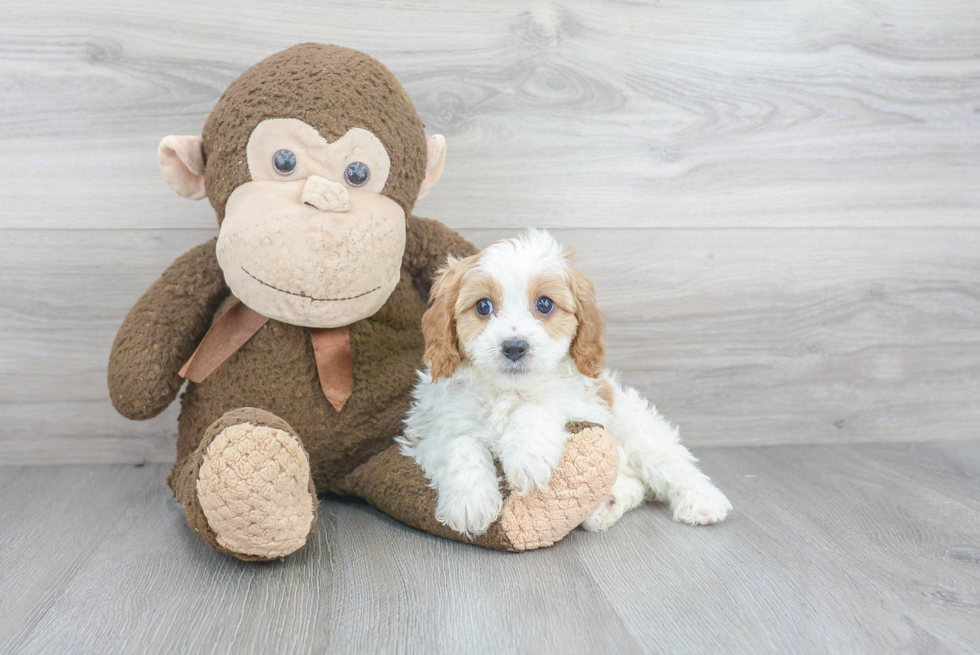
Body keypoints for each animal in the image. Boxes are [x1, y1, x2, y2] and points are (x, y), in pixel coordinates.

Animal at [396, 231, 728, 540]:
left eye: (545, 304)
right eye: (482, 306)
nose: (514, 346)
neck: (508, 389)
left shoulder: (583, 401)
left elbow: (538, 406)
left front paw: (528, 454)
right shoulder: (430, 426)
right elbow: (458, 443)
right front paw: (470, 502)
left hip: (636, 427)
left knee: (670, 463)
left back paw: (703, 501)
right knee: (634, 483)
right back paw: (606, 504)